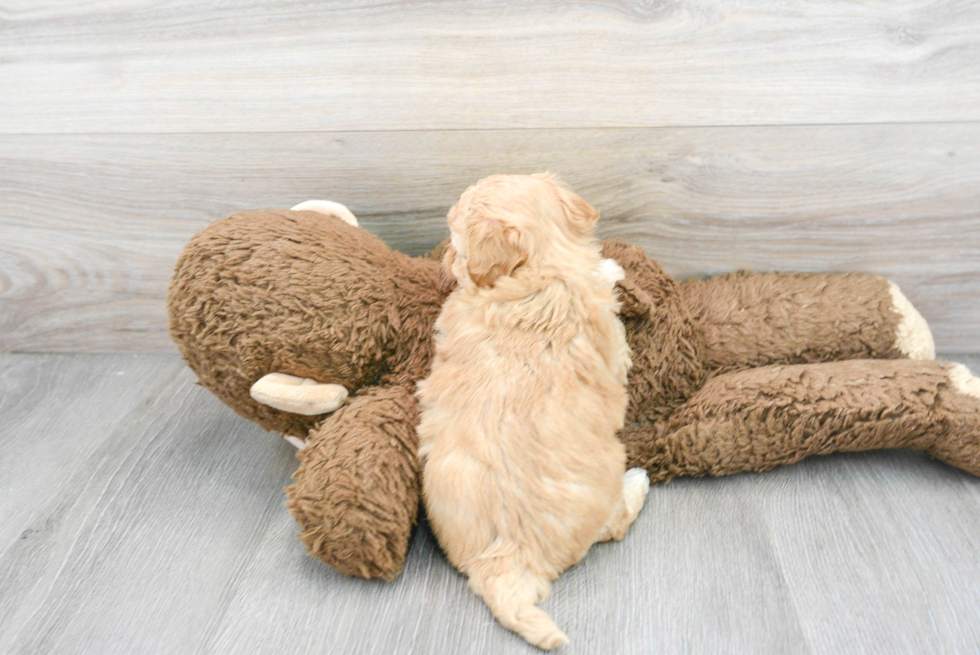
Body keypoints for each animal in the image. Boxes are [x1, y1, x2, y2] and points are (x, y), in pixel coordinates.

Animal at [416, 174, 652, 652]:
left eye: (456, 244)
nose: (446, 258)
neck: (541, 269)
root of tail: (507, 560)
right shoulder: (613, 343)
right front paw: (611, 269)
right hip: (608, 480)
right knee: (614, 526)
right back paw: (638, 482)